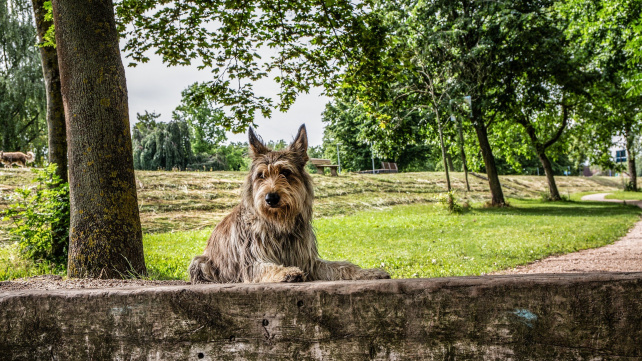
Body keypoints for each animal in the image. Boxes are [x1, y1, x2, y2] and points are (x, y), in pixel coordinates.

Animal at [189, 125, 390, 282]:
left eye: (285, 172)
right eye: (261, 175)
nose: (271, 198)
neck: (279, 225)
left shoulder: (308, 262)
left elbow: (342, 266)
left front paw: (369, 272)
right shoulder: (251, 263)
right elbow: (267, 267)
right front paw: (286, 272)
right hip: (200, 262)